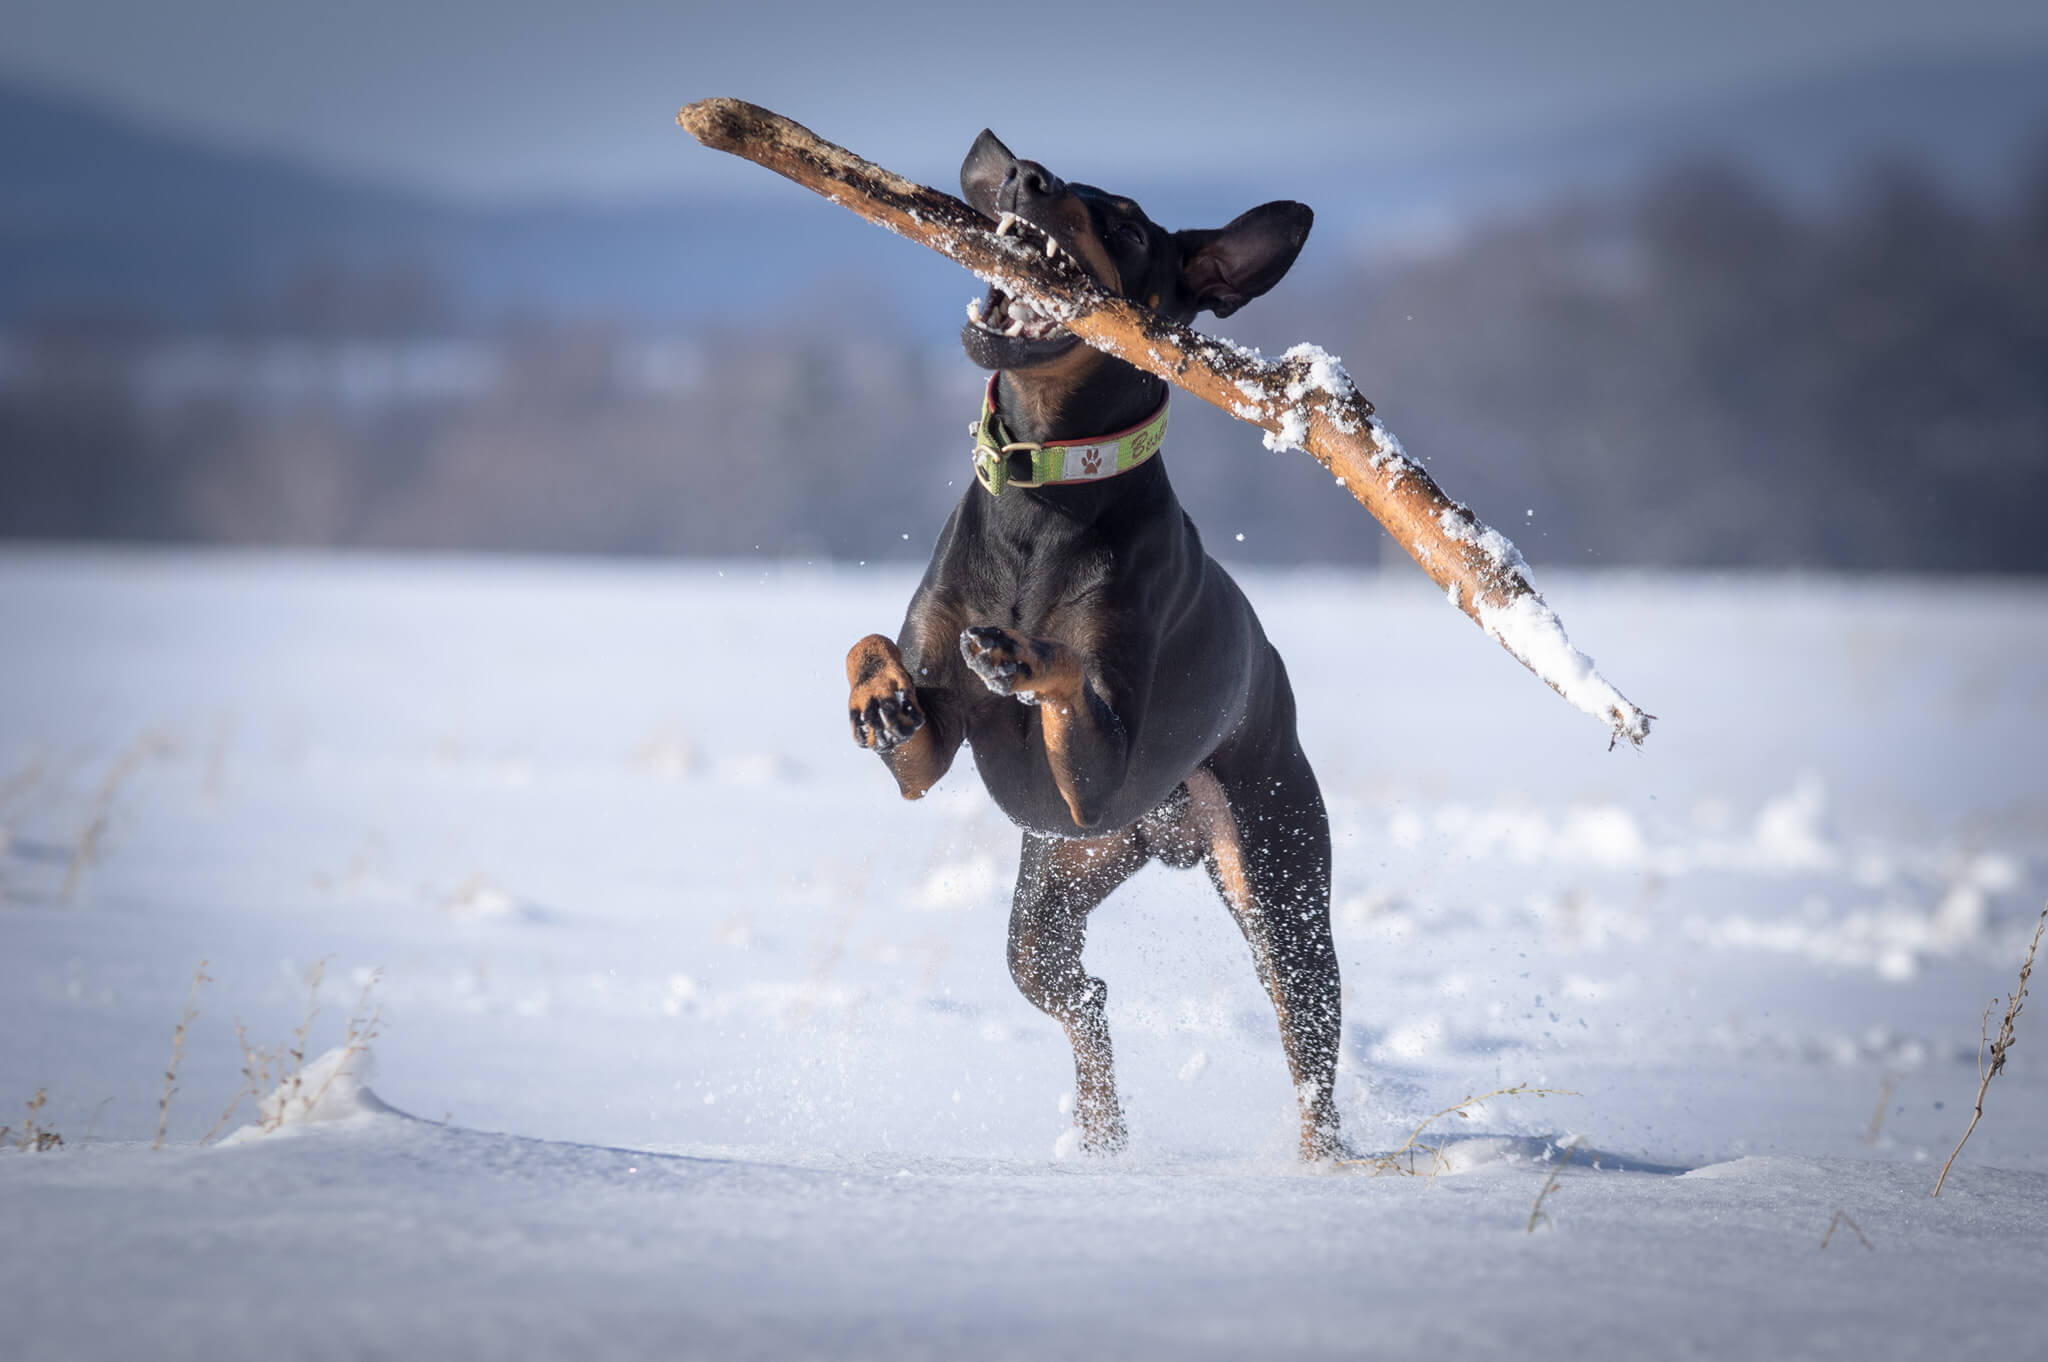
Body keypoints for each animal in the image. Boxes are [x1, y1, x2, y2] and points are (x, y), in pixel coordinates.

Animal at [847, 130, 1343, 1155]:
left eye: (1127, 227)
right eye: (1052, 178)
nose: (1025, 178)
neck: (1043, 488)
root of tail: (1171, 838)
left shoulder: (1100, 769)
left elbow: (1076, 675)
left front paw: (1024, 656)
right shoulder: (938, 753)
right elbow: (881, 656)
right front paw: (876, 694)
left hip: (1273, 874)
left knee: (1306, 1039)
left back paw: (1325, 1164)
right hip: (1060, 879)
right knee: (1080, 991)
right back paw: (1102, 1140)